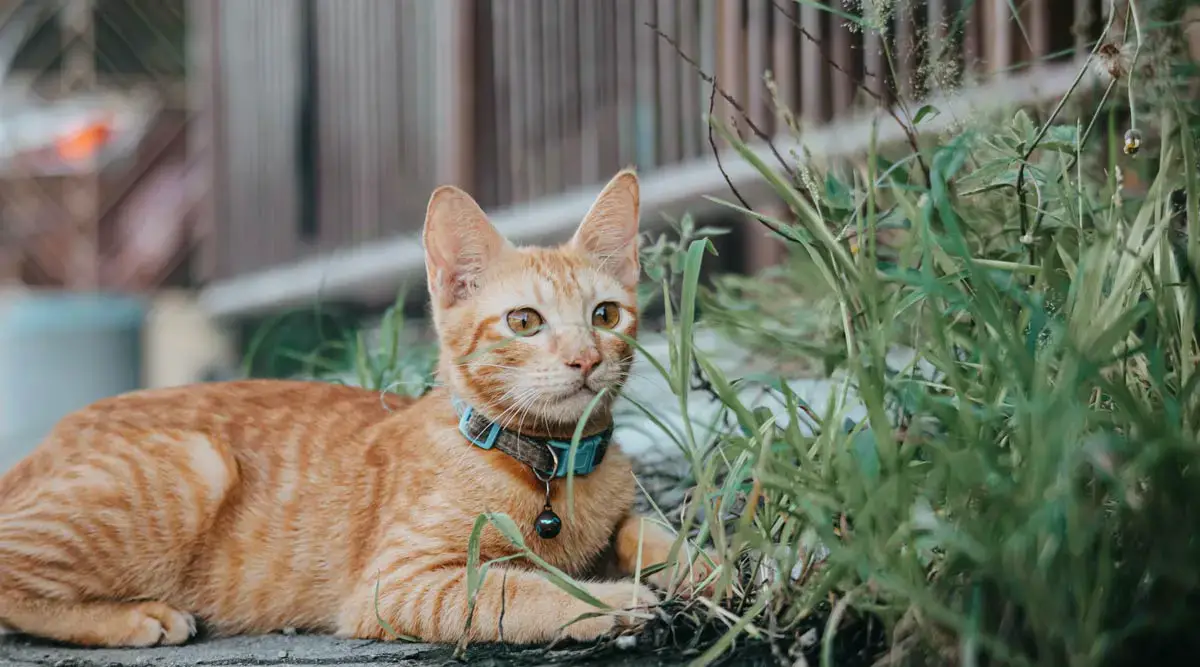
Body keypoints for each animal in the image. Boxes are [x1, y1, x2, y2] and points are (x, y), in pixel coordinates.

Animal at [0, 169, 710, 647]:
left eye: (605, 315)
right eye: (524, 321)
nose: (585, 359)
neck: (552, 463)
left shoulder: (617, 520)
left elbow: (651, 533)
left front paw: (713, 566)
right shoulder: (398, 584)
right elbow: (522, 586)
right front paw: (611, 598)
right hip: (195, 463)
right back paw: (135, 615)